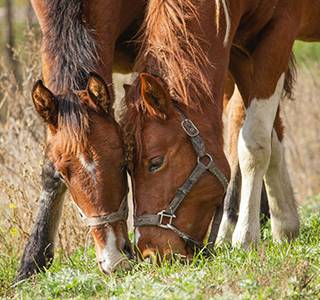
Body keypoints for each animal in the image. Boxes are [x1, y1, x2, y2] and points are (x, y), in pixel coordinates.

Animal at [121, 0, 318, 258]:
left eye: (155, 162)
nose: (149, 251)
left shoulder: (278, 35)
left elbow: (254, 144)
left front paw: (246, 236)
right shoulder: (242, 52)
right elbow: (271, 141)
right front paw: (285, 225)